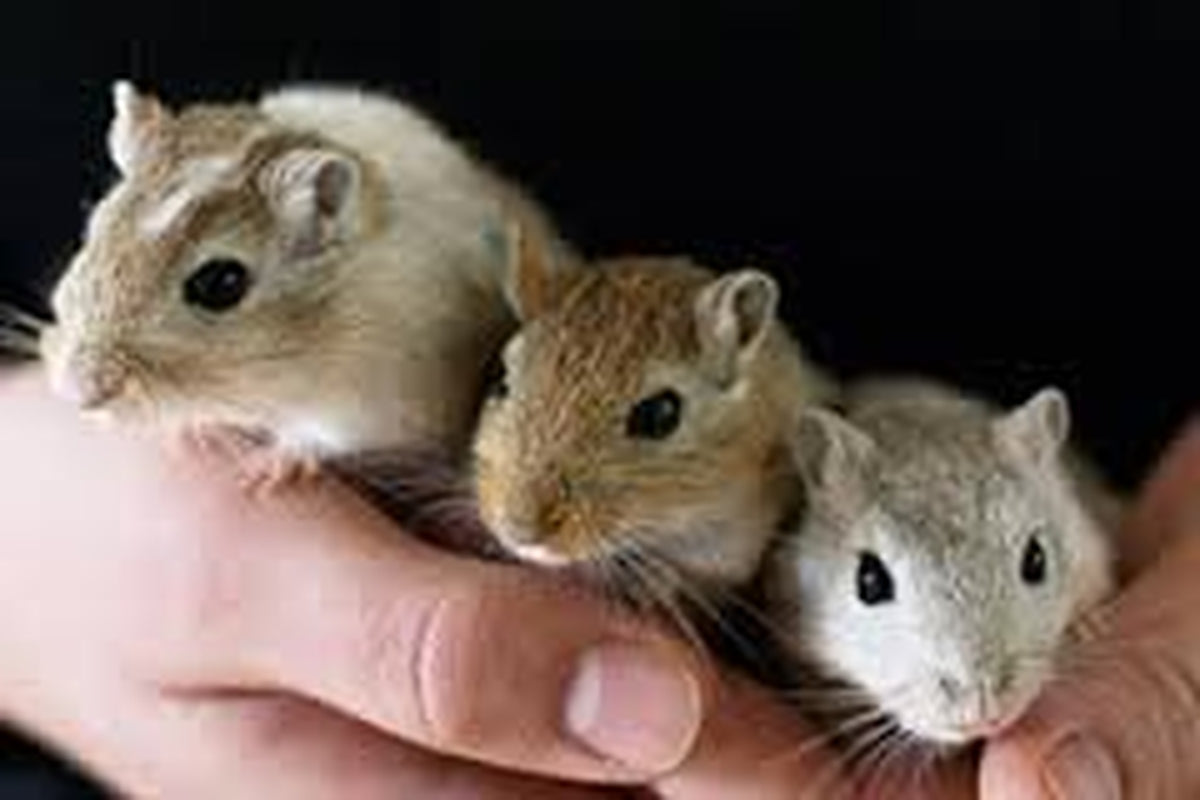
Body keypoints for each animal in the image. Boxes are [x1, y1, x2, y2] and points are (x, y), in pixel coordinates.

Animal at [38, 81, 571, 468]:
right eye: (94, 229)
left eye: (221, 284)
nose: (76, 393)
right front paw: (194, 432)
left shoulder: (378, 399)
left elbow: (321, 436)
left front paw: (265, 471)